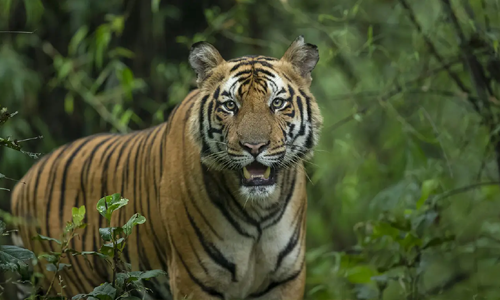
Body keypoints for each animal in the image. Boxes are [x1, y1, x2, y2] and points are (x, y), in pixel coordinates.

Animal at [12, 35, 324, 300]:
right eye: (230, 106)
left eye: (277, 103)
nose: (254, 147)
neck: (259, 209)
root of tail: (22, 183)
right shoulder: (194, 279)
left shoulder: (286, 279)